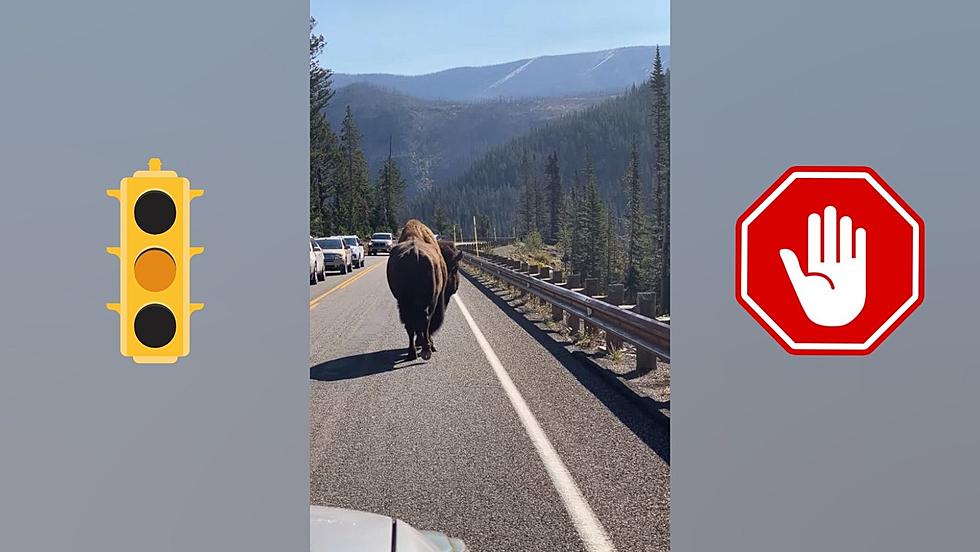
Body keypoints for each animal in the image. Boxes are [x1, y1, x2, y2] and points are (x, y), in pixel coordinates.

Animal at [386, 220, 464, 362]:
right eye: (456, 268)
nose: (456, 286)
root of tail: (415, 253)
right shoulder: (440, 298)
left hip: (403, 301)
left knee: (410, 324)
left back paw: (412, 353)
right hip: (431, 300)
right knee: (426, 321)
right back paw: (428, 350)